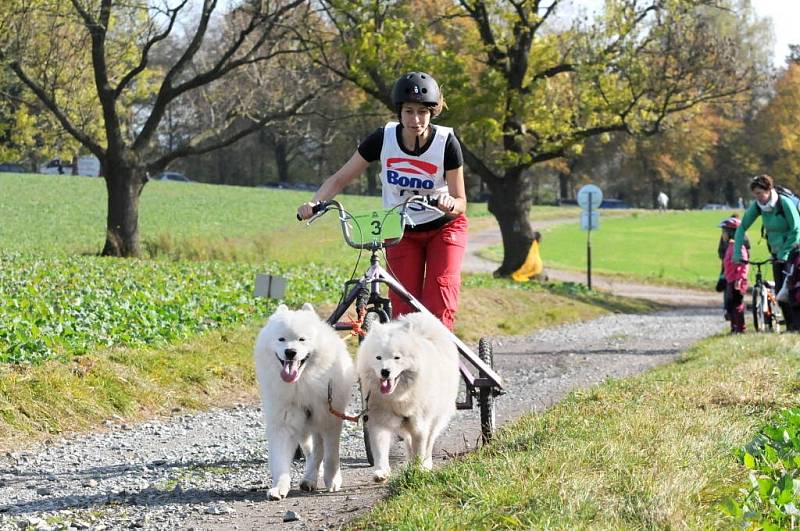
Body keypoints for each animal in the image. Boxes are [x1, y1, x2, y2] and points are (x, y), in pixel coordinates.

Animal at [253, 306, 354, 500]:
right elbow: (281, 460)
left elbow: (331, 455)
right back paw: (309, 479)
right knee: (311, 452)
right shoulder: (285, 422)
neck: (301, 383)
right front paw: (279, 487)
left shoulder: (329, 419)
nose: (290, 352)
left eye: (302, 339)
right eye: (281, 339)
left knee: (319, 451)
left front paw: (332, 479)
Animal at [354, 312, 460, 482]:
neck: (396, 397)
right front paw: (381, 472)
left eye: (397, 357)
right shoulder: (378, 420)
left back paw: (426, 464)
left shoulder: (419, 424)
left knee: (429, 441)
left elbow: (420, 448)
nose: (385, 372)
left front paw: (418, 471)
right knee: (409, 442)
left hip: (436, 417)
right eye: (378, 357)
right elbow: (380, 450)